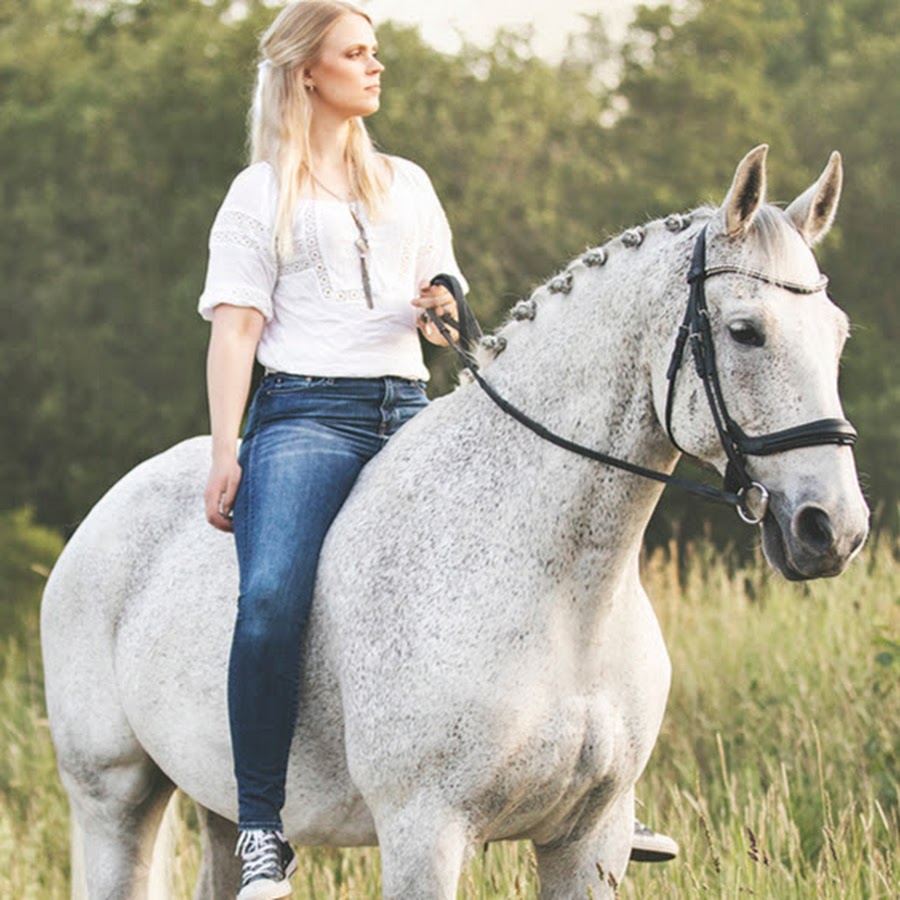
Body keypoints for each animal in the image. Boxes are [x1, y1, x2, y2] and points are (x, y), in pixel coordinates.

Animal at [41, 146, 869, 899]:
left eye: (838, 334)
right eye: (745, 331)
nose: (833, 528)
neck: (563, 595)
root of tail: (99, 523)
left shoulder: (588, 840)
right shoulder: (424, 832)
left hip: (213, 805)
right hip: (113, 802)